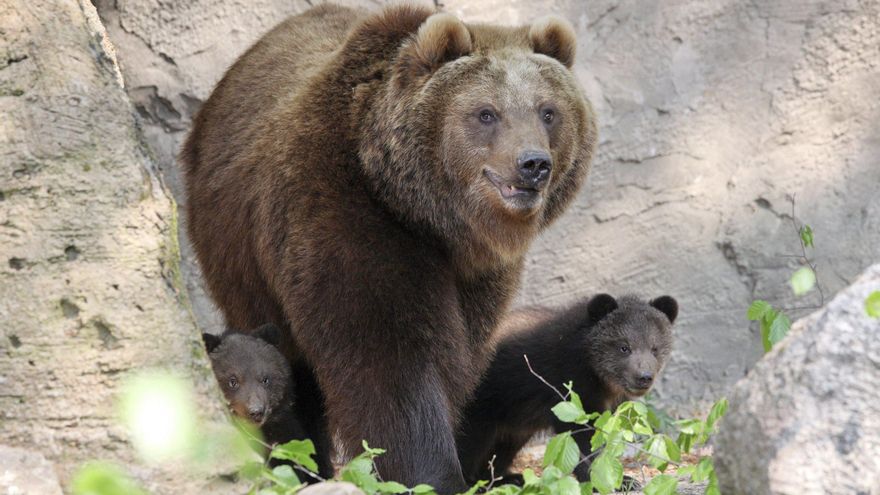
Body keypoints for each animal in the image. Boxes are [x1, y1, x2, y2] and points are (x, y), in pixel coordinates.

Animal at [184, 2, 600, 492]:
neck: (432, 217)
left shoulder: (480, 276)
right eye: (486, 113)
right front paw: (430, 471)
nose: (533, 163)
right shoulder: (345, 214)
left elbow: (457, 357)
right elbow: (390, 356)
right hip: (238, 252)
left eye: (548, 111)